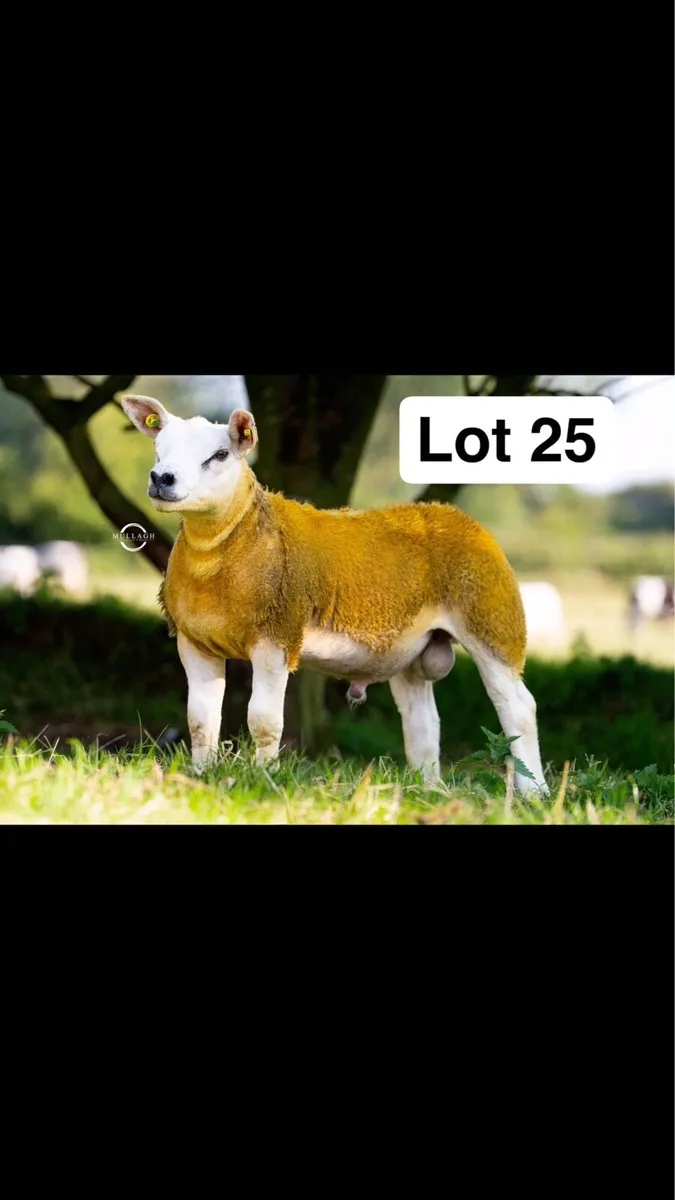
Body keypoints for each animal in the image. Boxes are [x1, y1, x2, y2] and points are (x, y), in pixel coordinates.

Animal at [121, 394, 549, 796]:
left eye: (220, 454)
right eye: (159, 449)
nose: (161, 477)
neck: (228, 545)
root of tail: (455, 516)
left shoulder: (277, 635)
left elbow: (264, 721)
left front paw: (262, 778)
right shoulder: (194, 641)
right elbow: (200, 720)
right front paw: (200, 776)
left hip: (493, 620)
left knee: (518, 708)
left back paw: (535, 794)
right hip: (412, 650)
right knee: (423, 722)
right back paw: (424, 790)